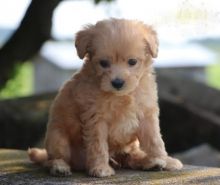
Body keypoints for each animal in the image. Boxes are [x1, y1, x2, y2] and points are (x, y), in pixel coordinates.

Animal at [28, 18, 183, 176]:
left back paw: (151, 162)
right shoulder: (96, 119)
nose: (117, 83)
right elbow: (98, 145)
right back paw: (60, 166)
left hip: (130, 146)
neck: (122, 96)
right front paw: (100, 167)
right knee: (53, 158)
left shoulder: (147, 114)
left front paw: (165, 160)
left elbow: (155, 140)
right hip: (58, 138)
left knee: (131, 157)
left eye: (132, 62)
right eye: (103, 63)